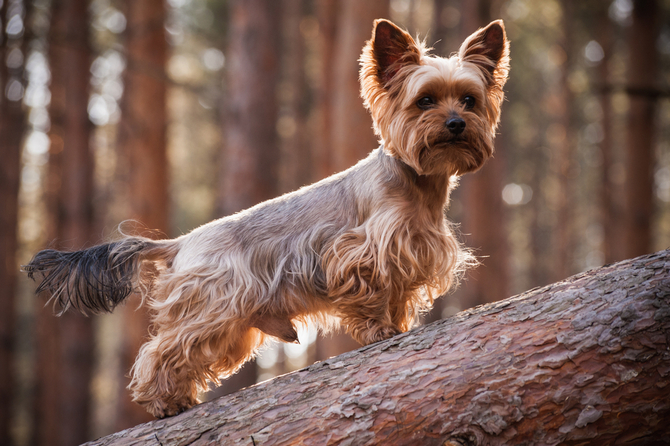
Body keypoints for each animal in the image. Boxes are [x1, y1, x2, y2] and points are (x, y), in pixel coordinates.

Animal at [25, 18, 510, 418]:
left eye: (470, 100)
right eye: (424, 100)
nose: (455, 124)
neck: (420, 181)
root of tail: (180, 242)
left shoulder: (411, 252)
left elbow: (400, 294)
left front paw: (400, 323)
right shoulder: (360, 252)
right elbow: (371, 294)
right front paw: (381, 330)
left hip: (230, 326)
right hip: (215, 305)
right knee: (160, 351)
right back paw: (163, 402)